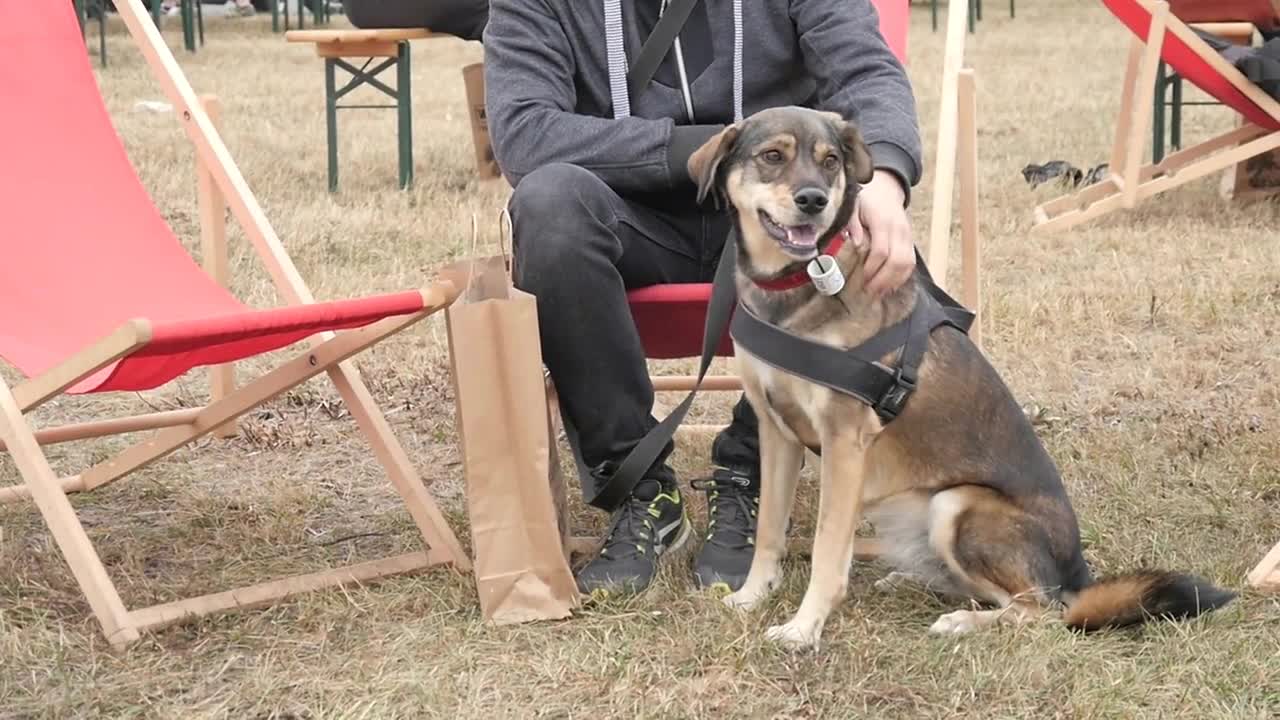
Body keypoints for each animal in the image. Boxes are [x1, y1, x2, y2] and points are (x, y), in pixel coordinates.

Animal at [686, 106, 1233, 650]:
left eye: (829, 162)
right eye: (771, 156)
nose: (813, 201)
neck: (796, 286)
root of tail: (1077, 575)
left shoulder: (844, 441)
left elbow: (826, 548)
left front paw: (803, 628)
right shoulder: (775, 430)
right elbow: (769, 531)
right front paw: (752, 597)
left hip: (957, 505)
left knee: (1041, 610)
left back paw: (965, 621)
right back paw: (912, 578)